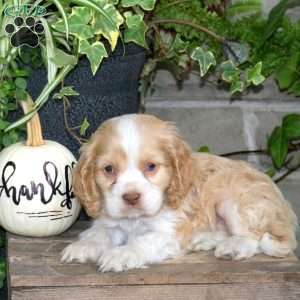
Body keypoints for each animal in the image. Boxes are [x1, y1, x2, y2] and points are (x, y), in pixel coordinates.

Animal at [61, 114, 298, 272]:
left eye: (151, 167)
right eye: (109, 169)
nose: (131, 197)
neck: (135, 220)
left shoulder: (168, 233)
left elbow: (143, 241)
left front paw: (121, 253)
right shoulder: (111, 222)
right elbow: (98, 233)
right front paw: (82, 247)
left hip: (232, 202)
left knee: (255, 237)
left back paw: (234, 247)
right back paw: (203, 239)